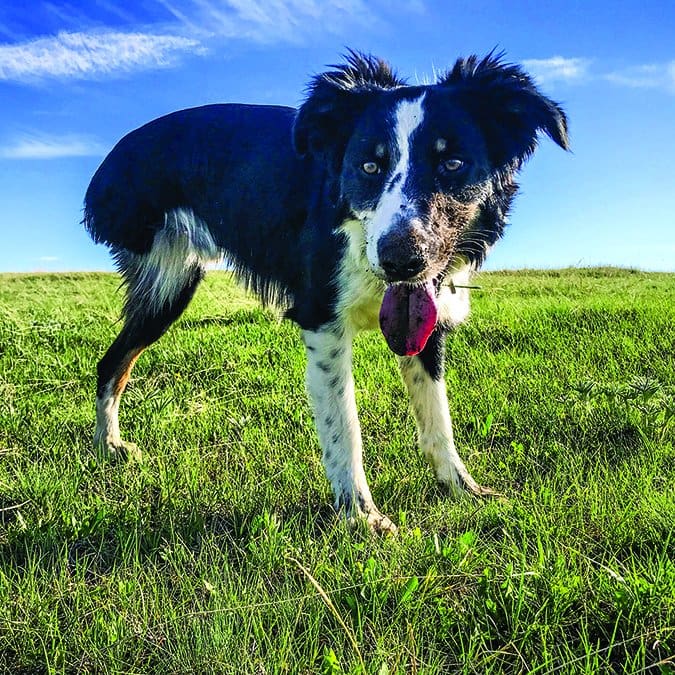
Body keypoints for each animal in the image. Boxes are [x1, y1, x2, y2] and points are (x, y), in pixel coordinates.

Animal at [86, 51, 572, 532]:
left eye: (453, 164)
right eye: (369, 166)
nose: (400, 259)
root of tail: (113, 157)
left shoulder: (428, 320)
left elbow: (437, 413)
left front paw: (461, 488)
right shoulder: (323, 322)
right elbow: (344, 424)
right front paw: (361, 517)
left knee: (113, 360)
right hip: (167, 282)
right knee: (113, 362)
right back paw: (109, 446)